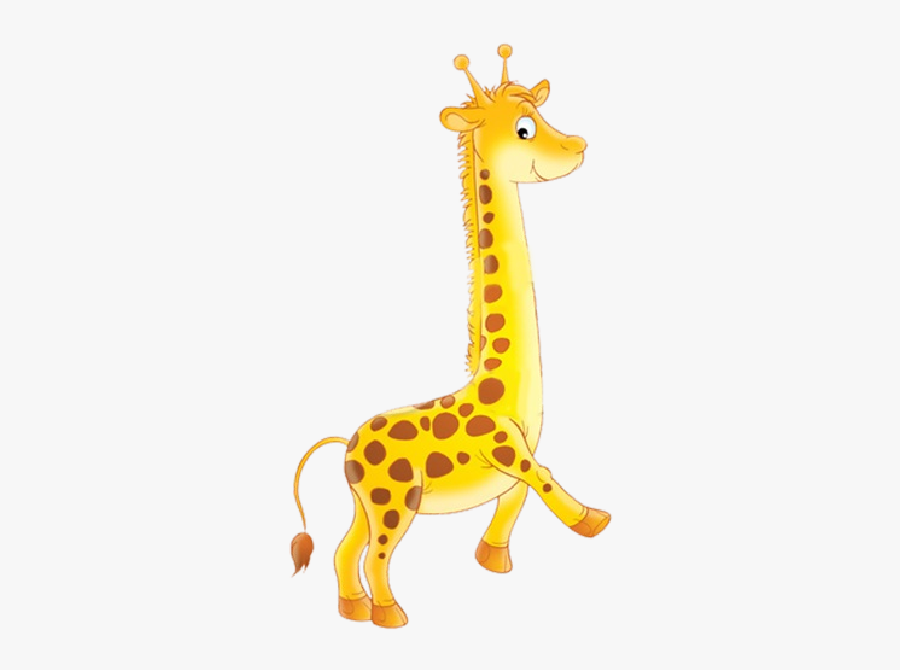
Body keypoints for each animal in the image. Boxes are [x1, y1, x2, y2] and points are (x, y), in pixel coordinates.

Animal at [291, 45, 610, 628]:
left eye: (543, 113)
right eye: (525, 128)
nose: (577, 145)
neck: (501, 386)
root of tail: (346, 442)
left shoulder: (509, 464)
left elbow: (517, 496)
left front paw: (493, 557)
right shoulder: (507, 448)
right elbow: (544, 476)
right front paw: (592, 521)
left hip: (365, 501)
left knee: (346, 549)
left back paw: (354, 610)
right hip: (396, 500)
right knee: (375, 554)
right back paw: (390, 615)